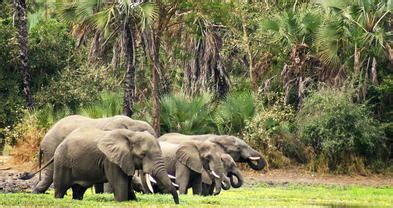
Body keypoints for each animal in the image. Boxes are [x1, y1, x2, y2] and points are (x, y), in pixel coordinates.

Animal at [22, 127, 178, 203]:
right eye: (143, 155)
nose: (177, 203)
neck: (131, 135)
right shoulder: (110, 160)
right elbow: (120, 184)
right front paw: (121, 202)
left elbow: (127, 184)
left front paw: (134, 200)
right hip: (62, 162)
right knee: (60, 189)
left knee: (78, 190)